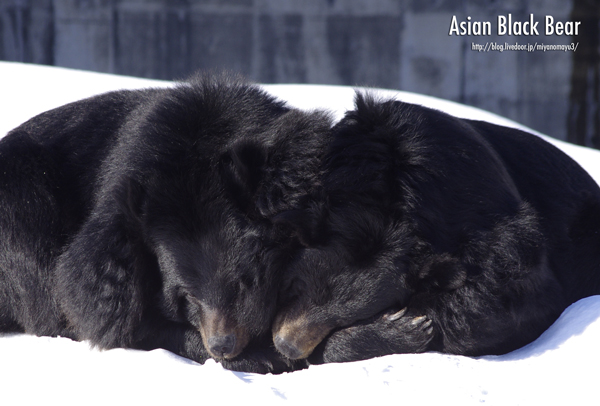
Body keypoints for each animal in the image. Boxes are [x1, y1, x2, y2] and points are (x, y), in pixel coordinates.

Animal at [0, 71, 330, 372]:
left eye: (244, 282)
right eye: (188, 294)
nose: (223, 345)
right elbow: (105, 313)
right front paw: (264, 357)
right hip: (21, 206)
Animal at [272, 93, 600, 364]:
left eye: (346, 318)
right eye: (298, 286)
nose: (286, 344)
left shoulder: (493, 230)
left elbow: (509, 301)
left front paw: (408, 324)